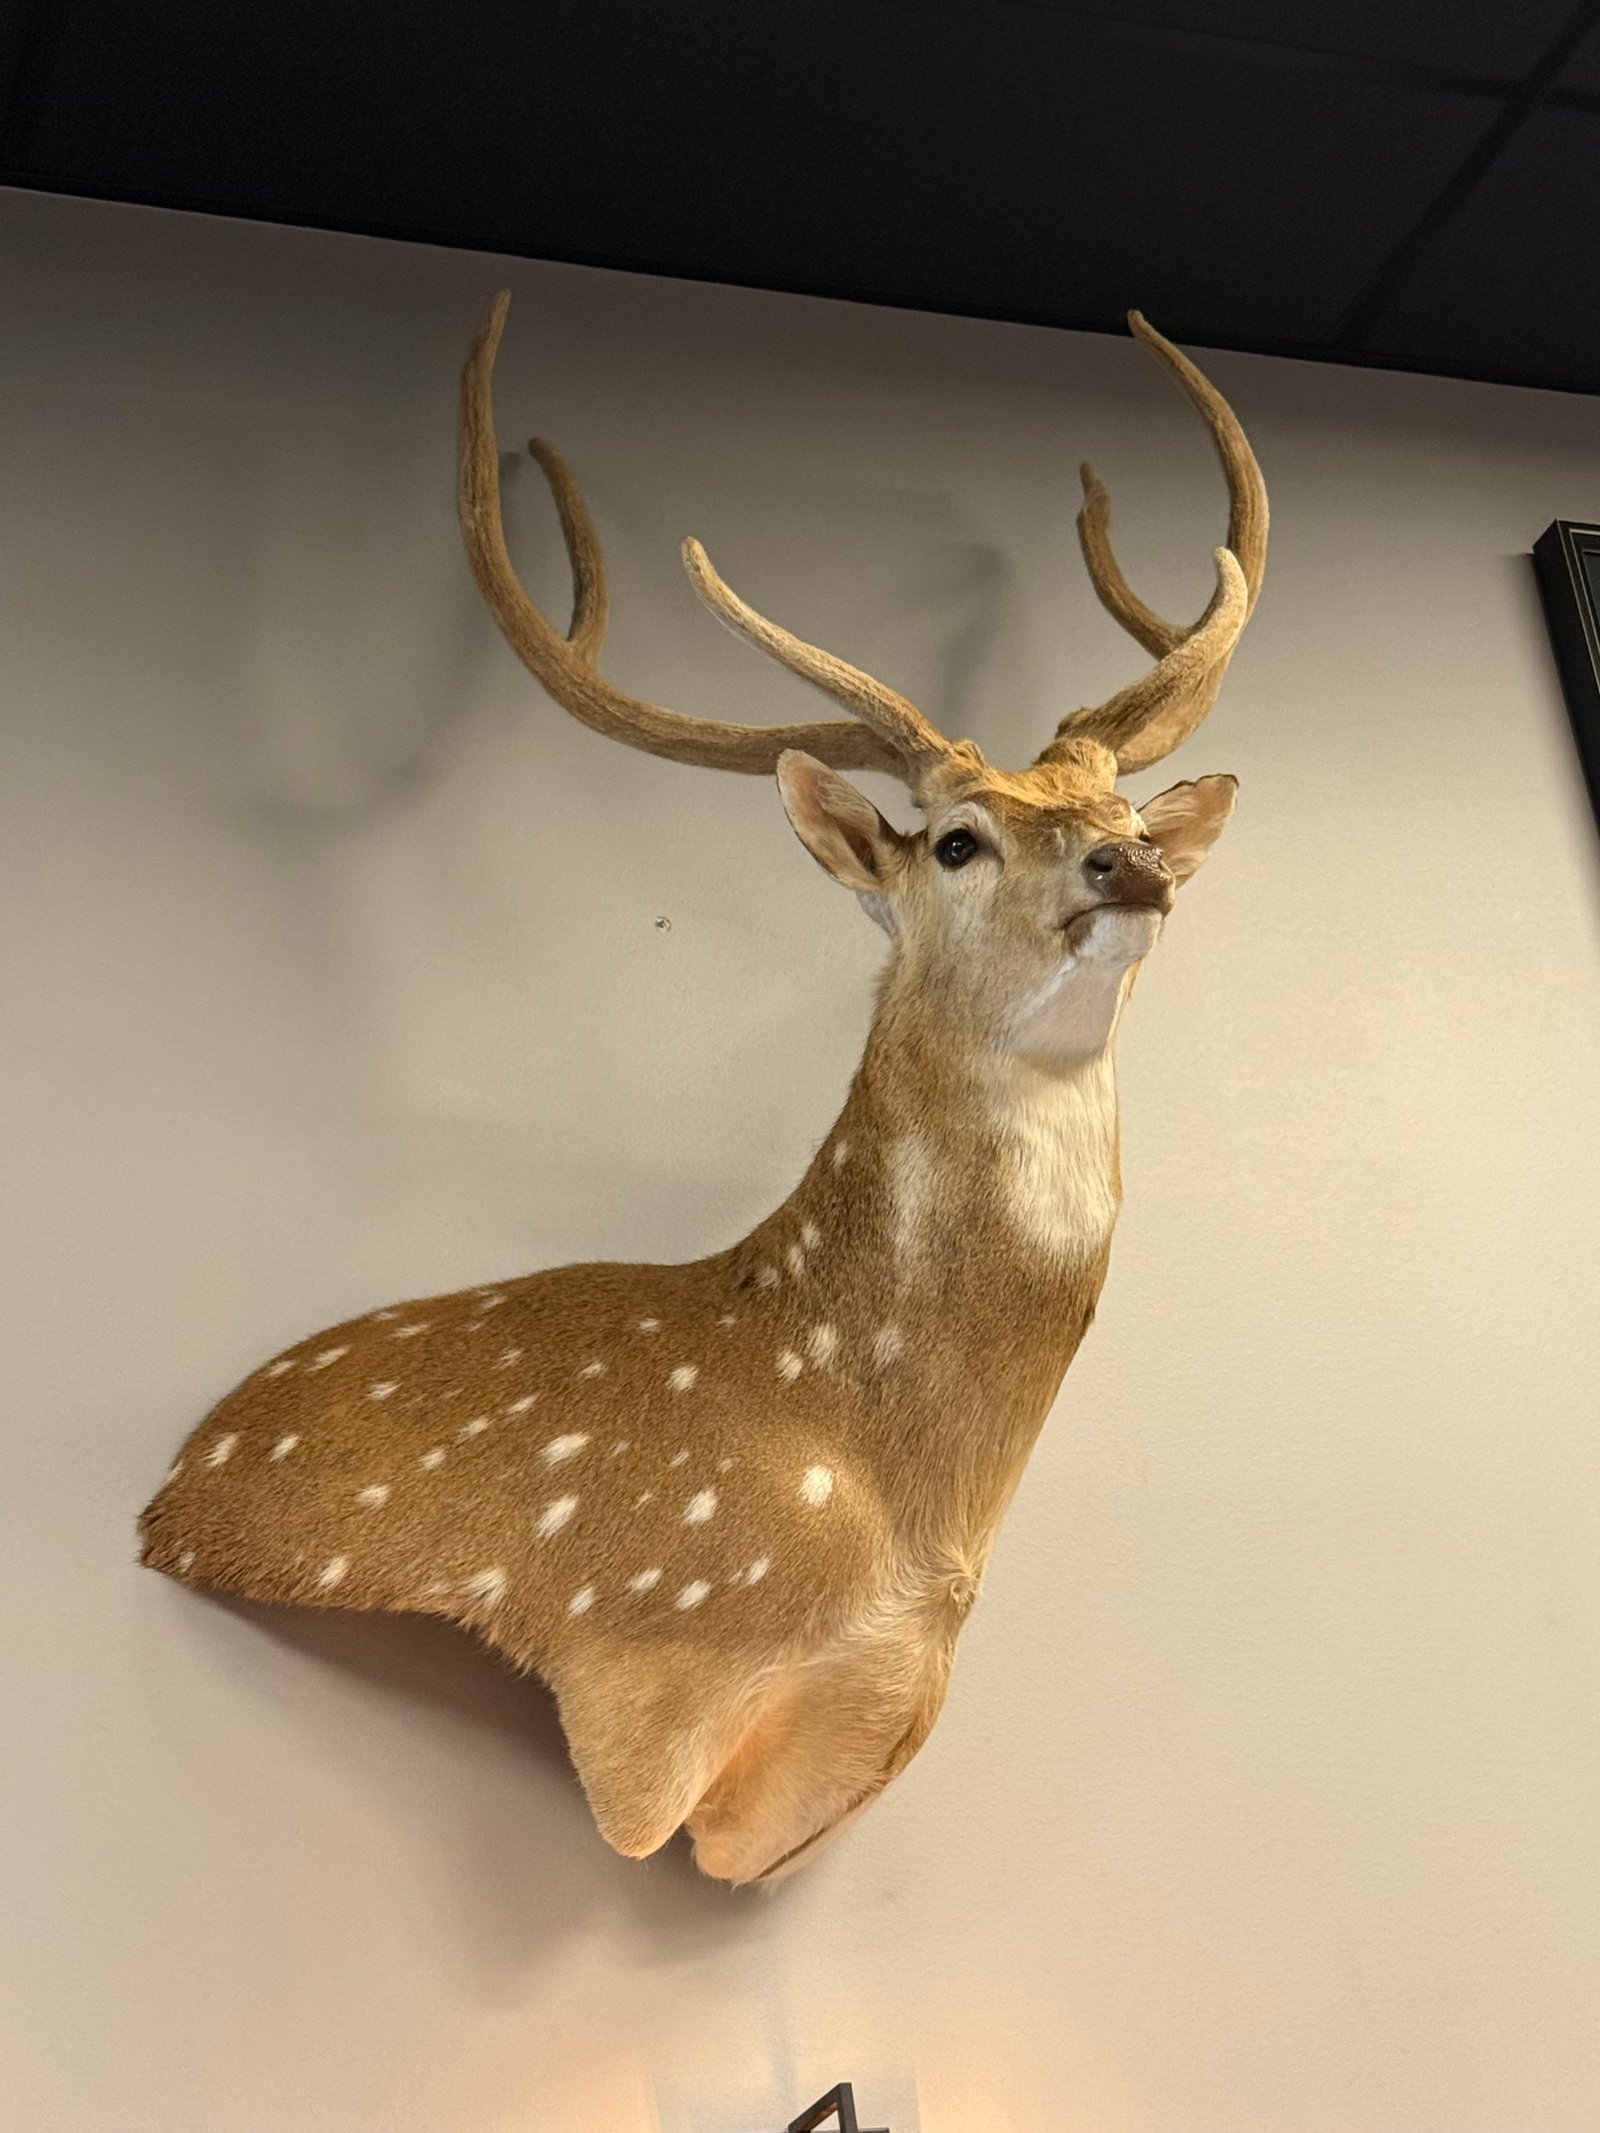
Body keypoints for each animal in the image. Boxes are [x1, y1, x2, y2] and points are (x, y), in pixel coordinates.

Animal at [139, 291, 1267, 1885]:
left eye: (1116, 807)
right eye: (956, 841)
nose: (1130, 862)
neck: (912, 1518)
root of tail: (161, 1498)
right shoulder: (649, 1656)